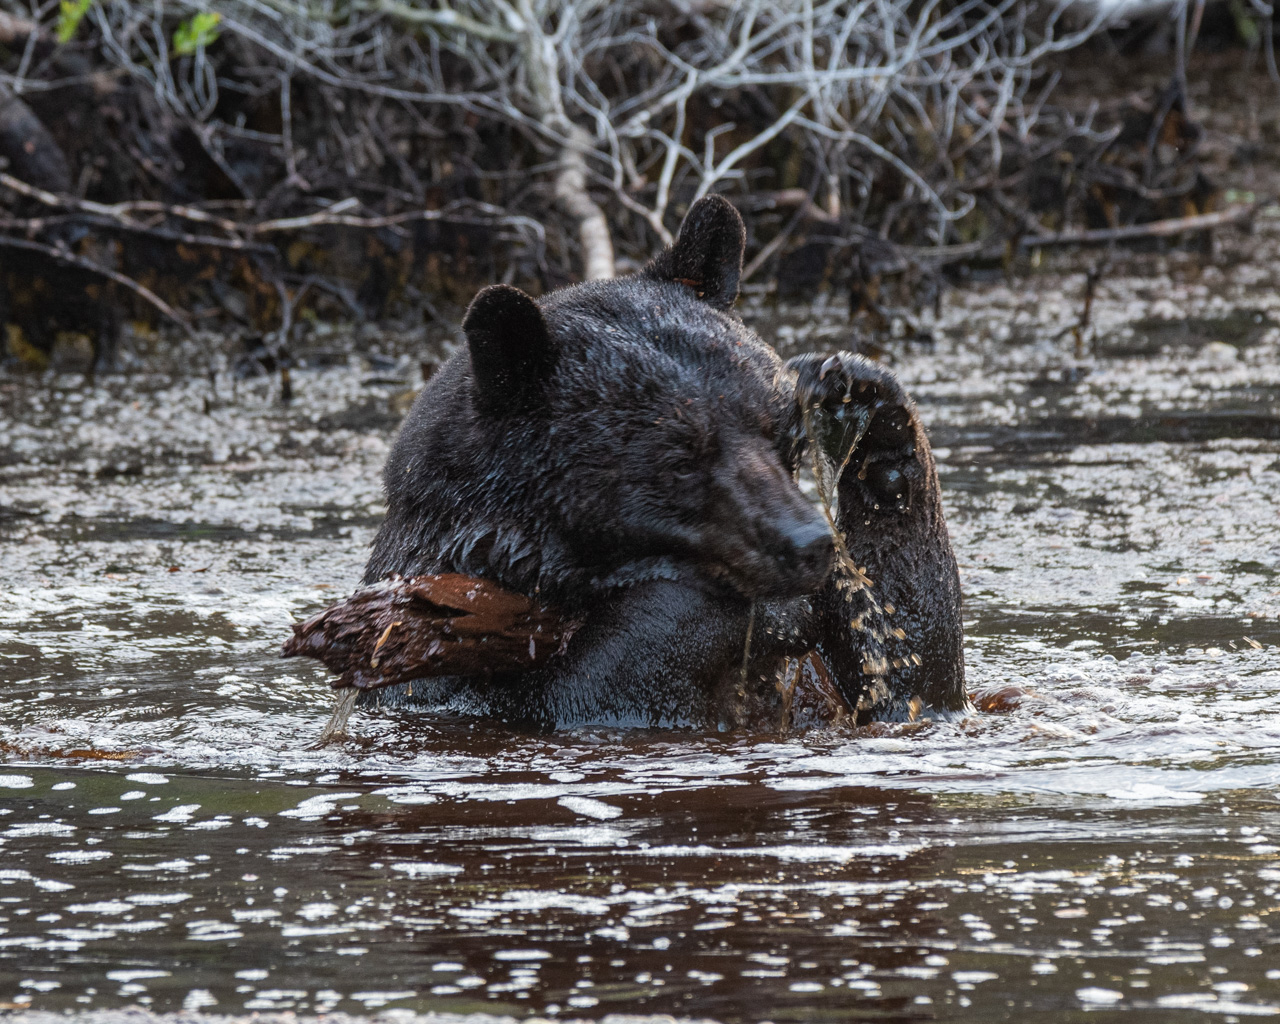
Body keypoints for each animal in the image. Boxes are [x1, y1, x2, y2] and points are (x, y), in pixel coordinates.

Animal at [360, 195, 962, 727]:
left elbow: (908, 671)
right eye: (681, 459)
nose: (807, 542)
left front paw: (870, 410)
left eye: (786, 436)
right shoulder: (459, 673)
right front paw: (767, 613)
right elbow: (599, 677)